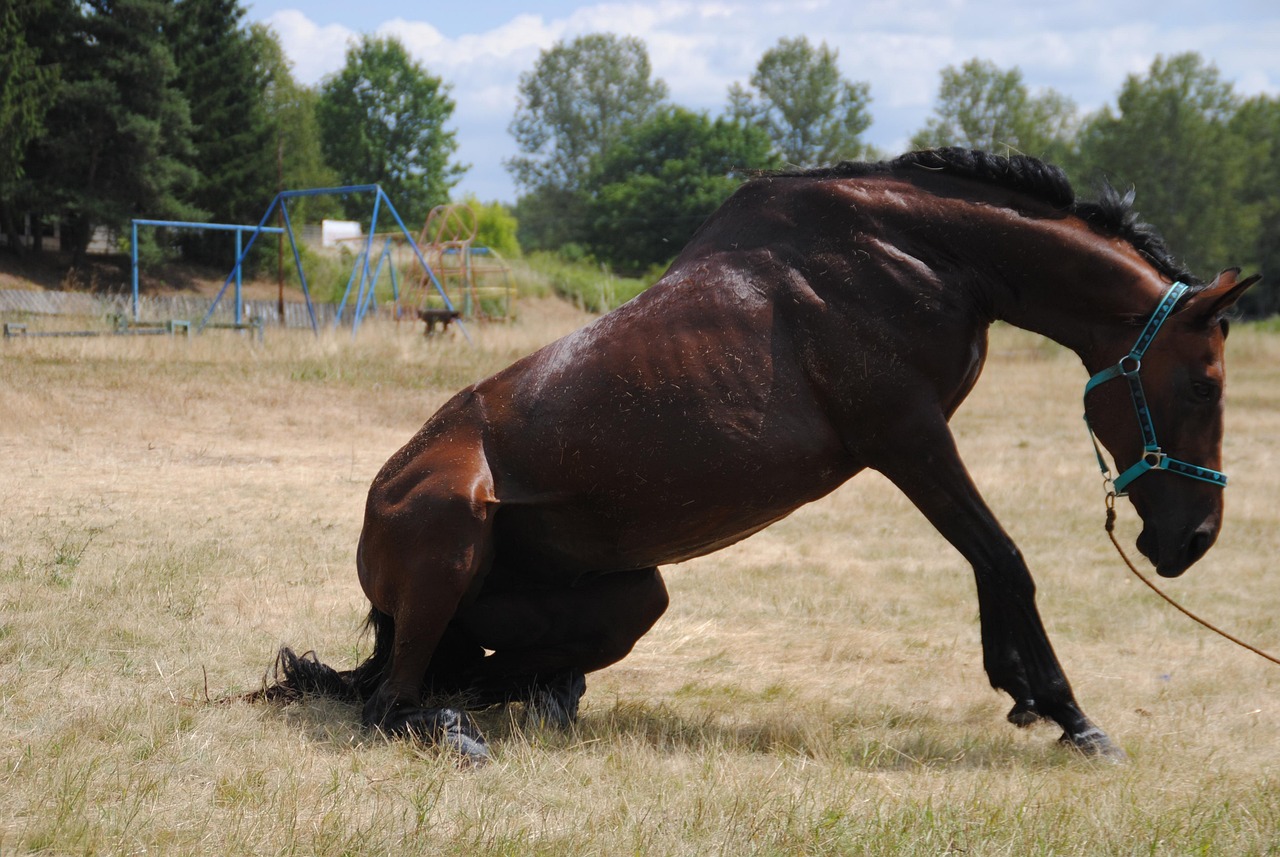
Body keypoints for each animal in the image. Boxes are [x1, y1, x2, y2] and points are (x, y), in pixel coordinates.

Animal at [262, 148, 1257, 763]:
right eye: (1206, 384)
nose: (1195, 538)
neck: (915, 251)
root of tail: (387, 497)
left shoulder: (920, 443)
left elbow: (988, 562)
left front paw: (1019, 690)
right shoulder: (909, 438)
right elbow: (1005, 558)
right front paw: (1070, 715)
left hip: (633, 594)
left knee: (472, 676)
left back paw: (538, 700)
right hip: (454, 533)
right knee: (391, 703)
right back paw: (456, 728)